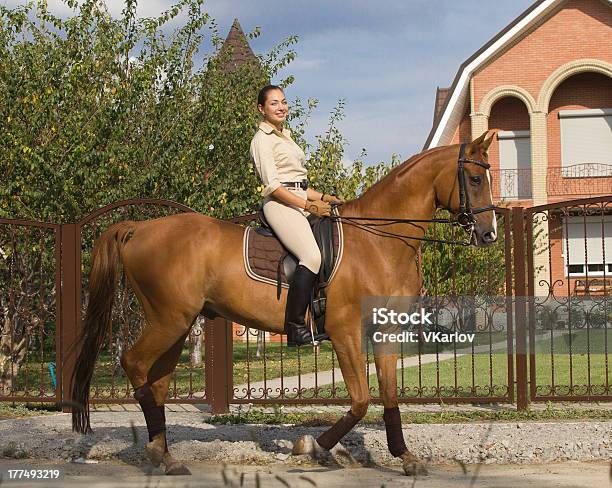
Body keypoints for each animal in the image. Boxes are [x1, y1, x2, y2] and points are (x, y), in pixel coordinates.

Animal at [70, 132, 498, 474]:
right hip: (169, 320)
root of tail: (138, 228)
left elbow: (389, 395)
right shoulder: (344, 331)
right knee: (134, 364)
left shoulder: (386, 328)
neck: (376, 241)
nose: (489, 234)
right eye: (476, 178)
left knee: (157, 381)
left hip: (177, 323)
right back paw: (159, 453)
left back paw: (165, 456)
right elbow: (361, 400)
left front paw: (405, 457)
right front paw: (311, 447)